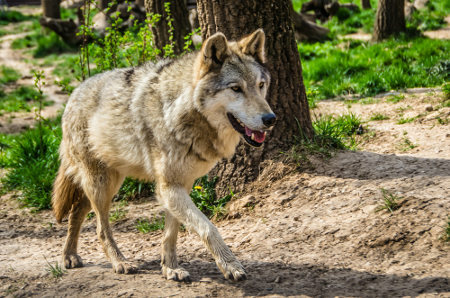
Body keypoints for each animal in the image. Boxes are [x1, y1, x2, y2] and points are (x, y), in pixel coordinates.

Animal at [51, 29, 274, 282]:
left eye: (261, 85)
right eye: (236, 89)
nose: (270, 119)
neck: (181, 112)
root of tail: (74, 93)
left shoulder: (180, 185)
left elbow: (172, 233)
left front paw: (170, 268)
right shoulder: (168, 187)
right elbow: (208, 227)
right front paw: (230, 265)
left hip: (110, 182)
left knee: (77, 211)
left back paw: (69, 256)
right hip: (102, 185)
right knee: (100, 228)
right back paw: (119, 262)